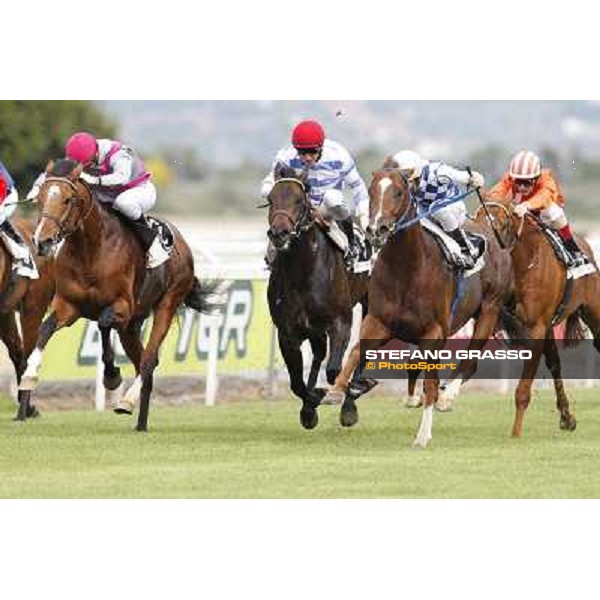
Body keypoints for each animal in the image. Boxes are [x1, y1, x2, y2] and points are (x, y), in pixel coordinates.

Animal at [15, 158, 216, 432]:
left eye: (67, 199)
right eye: (41, 197)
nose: (42, 241)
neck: (90, 250)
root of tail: (183, 245)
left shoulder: (122, 306)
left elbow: (102, 324)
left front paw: (111, 377)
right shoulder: (69, 305)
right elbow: (45, 329)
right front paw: (29, 376)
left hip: (167, 304)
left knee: (148, 359)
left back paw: (127, 401)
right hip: (130, 327)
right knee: (143, 362)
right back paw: (140, 422)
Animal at [268, 162, 370, 428]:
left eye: (299, 200)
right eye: (270, 199)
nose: (279, 233)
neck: (303, 273)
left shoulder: (341, 321)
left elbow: (334, 370)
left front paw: (347, 392)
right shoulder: (288, 332)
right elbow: (297, 383)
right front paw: (311, 405)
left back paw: (351, 401)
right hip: (313, 328)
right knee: (318, 354)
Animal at [330, 166, 512, 448]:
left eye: (398, 192)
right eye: (371, 191)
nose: (377, 228)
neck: (407, 268)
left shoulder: (434, 332)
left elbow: (430, 382)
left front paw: (423, 434)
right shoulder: (379, 322)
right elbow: (357, 351)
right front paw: (337, 389)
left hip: (489, 310)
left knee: (469, 360)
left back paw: (446, 398)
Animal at [480, 199, 600, 438]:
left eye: (501, 223)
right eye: (475, 218)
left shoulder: (536, 328)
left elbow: (523, 390)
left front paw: (516, 433)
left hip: (593, 310)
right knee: (555, 364)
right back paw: (566, 417)